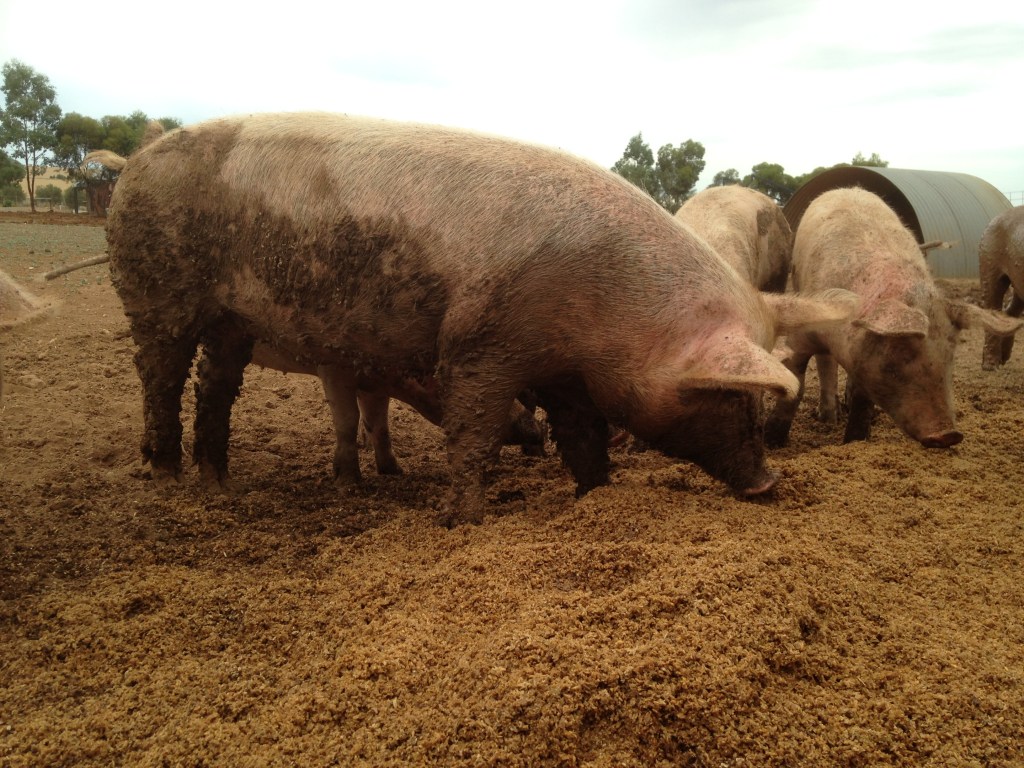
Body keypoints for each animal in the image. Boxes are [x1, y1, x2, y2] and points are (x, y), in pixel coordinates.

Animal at [104, 112, 855, 526]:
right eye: (732, 399)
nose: (769, 483)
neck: (610, 311)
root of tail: (137, 159)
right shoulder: (480, 342)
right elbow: (473, 433)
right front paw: (462, 521)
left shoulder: (566, 374)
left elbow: (584, 435)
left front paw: (596, 495)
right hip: (155, 291)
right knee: (159, 375)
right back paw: (168, 477)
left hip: (233, 320)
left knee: (216, 385)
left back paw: (218, 482)